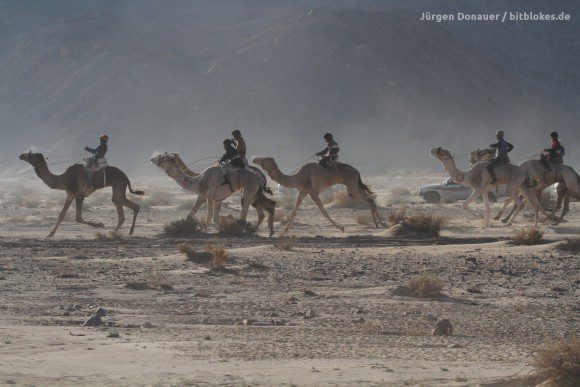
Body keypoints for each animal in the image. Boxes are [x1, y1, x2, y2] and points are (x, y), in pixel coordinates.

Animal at [251, 157, 382, 233]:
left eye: (264, 158)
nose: (254, 159)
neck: (297, 178)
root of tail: (356, 171)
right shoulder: (302, 191)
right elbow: (293, 211)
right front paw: (284, 231)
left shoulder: (312, 192)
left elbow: (324, 211)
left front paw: (341, 228)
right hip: (354, 184)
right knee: (370, 198)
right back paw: (378, 223)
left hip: (352, 186)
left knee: (369, 199)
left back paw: (380, 223)